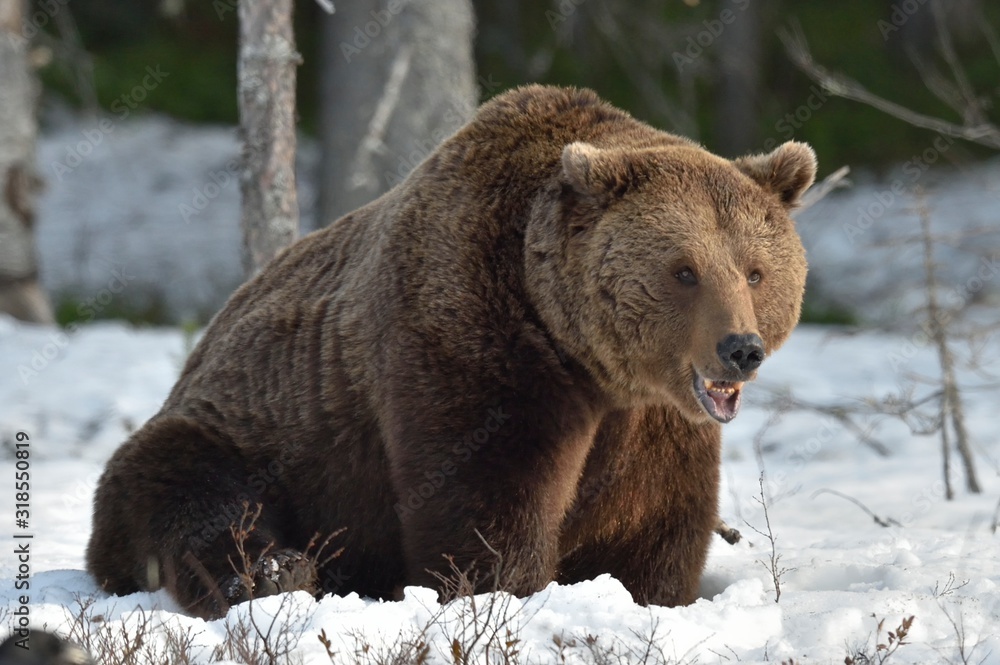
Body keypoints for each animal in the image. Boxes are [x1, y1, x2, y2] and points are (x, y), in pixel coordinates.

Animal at [86, 85, 816, 619]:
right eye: (684, 270)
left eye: (756, 271)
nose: (741, 348)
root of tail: (204, 342)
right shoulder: (471, 344)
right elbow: (484, 504)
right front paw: (503, 593)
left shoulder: (654, 424)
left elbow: (652, 528)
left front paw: (647, 597)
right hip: (244, 430)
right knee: (193, 498)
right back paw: (276, 571)